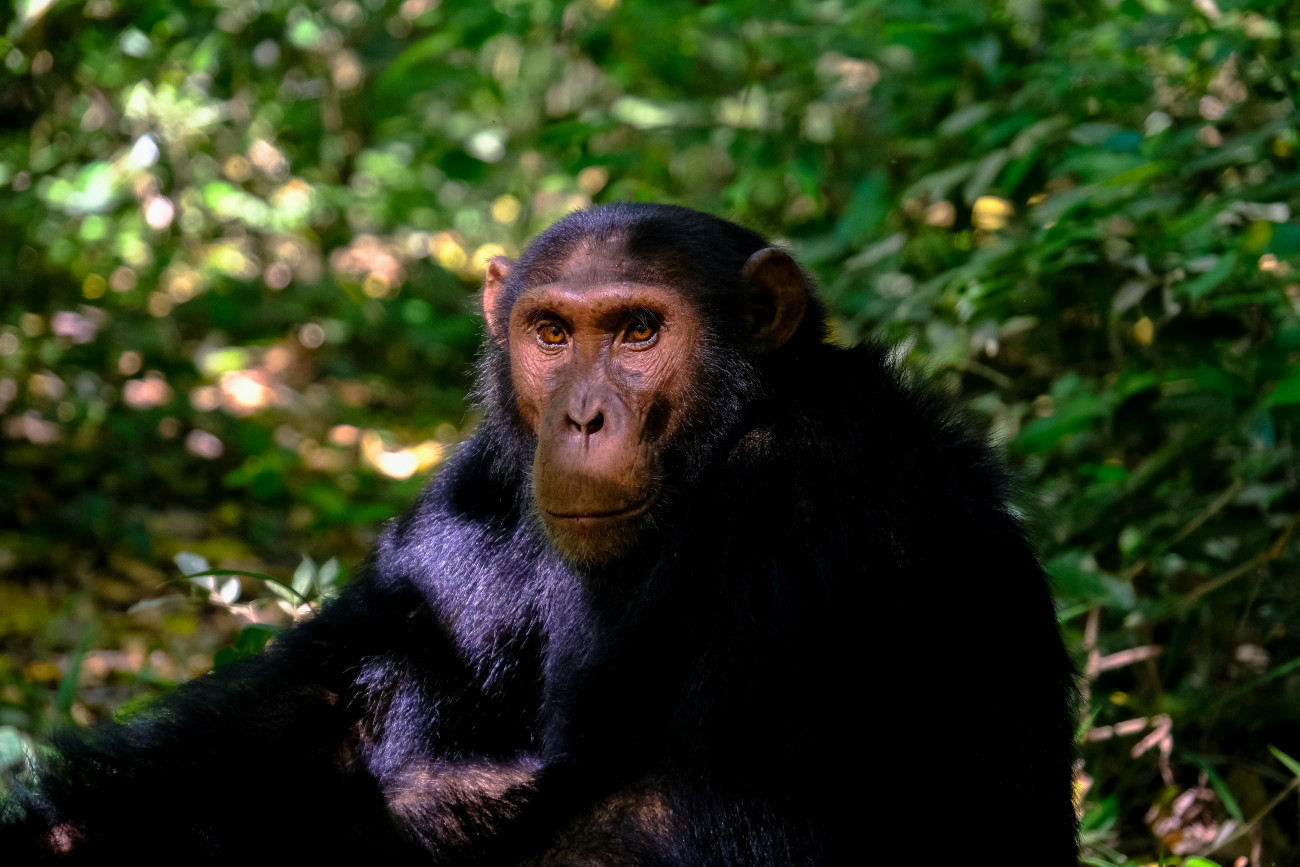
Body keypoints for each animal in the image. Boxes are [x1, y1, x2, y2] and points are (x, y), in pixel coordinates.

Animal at [0, 204, 1076, 863]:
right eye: (552, 333)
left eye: (639, 331)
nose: (583, 417)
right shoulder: (476, 489)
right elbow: (316, 713)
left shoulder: (809, 486)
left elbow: (683, 807)